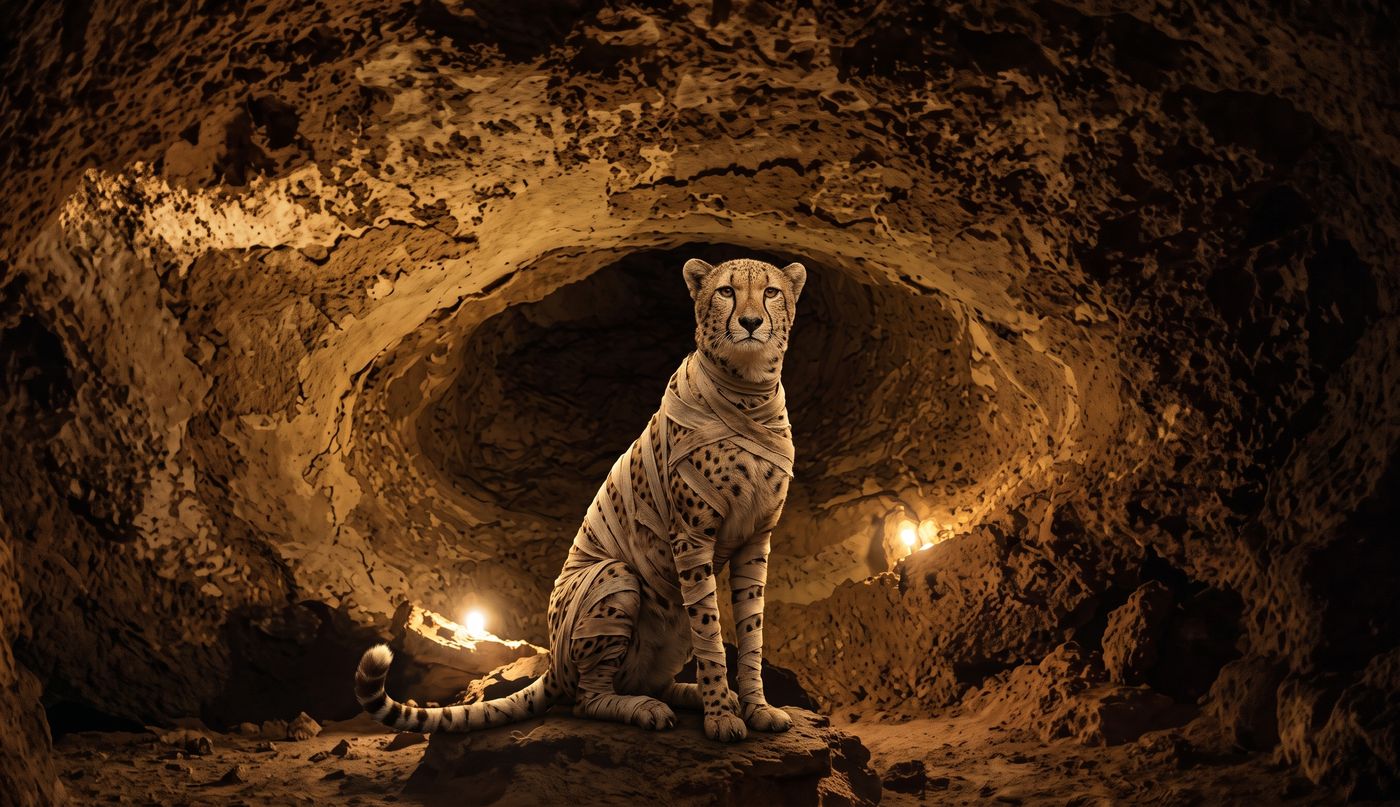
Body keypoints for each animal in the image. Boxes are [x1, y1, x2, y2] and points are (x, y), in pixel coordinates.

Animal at [354, 256, 806, 743]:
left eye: (771, 292)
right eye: (726, 291)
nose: (750, 322)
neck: (747, 392)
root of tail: (552, 662)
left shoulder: (756, 540)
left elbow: (751, 629)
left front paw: (755, 706)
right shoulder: (691, 536)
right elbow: (710, 631)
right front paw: (722, 715)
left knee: (649, 676)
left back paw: (686, 695)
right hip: (614, 578)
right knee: (588, 697)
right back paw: (646, 708)